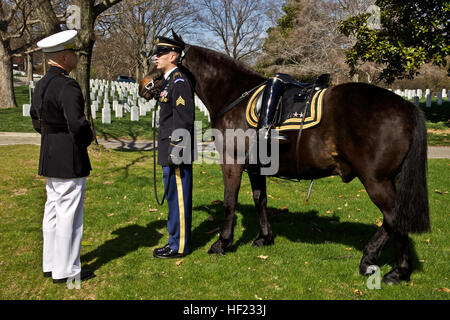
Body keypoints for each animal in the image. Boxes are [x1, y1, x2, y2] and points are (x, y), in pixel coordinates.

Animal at [140, 31, 428, 284]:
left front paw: (222, 242)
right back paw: (374, 259)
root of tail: (405, 105)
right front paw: (264, 237)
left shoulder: (232, 162)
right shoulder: (256, 168)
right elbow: (260, 199)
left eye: (159, 56)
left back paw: (395, 269)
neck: (234, 96)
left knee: (395, 217)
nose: (144, 84)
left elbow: (229, 202)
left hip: (375, 180)